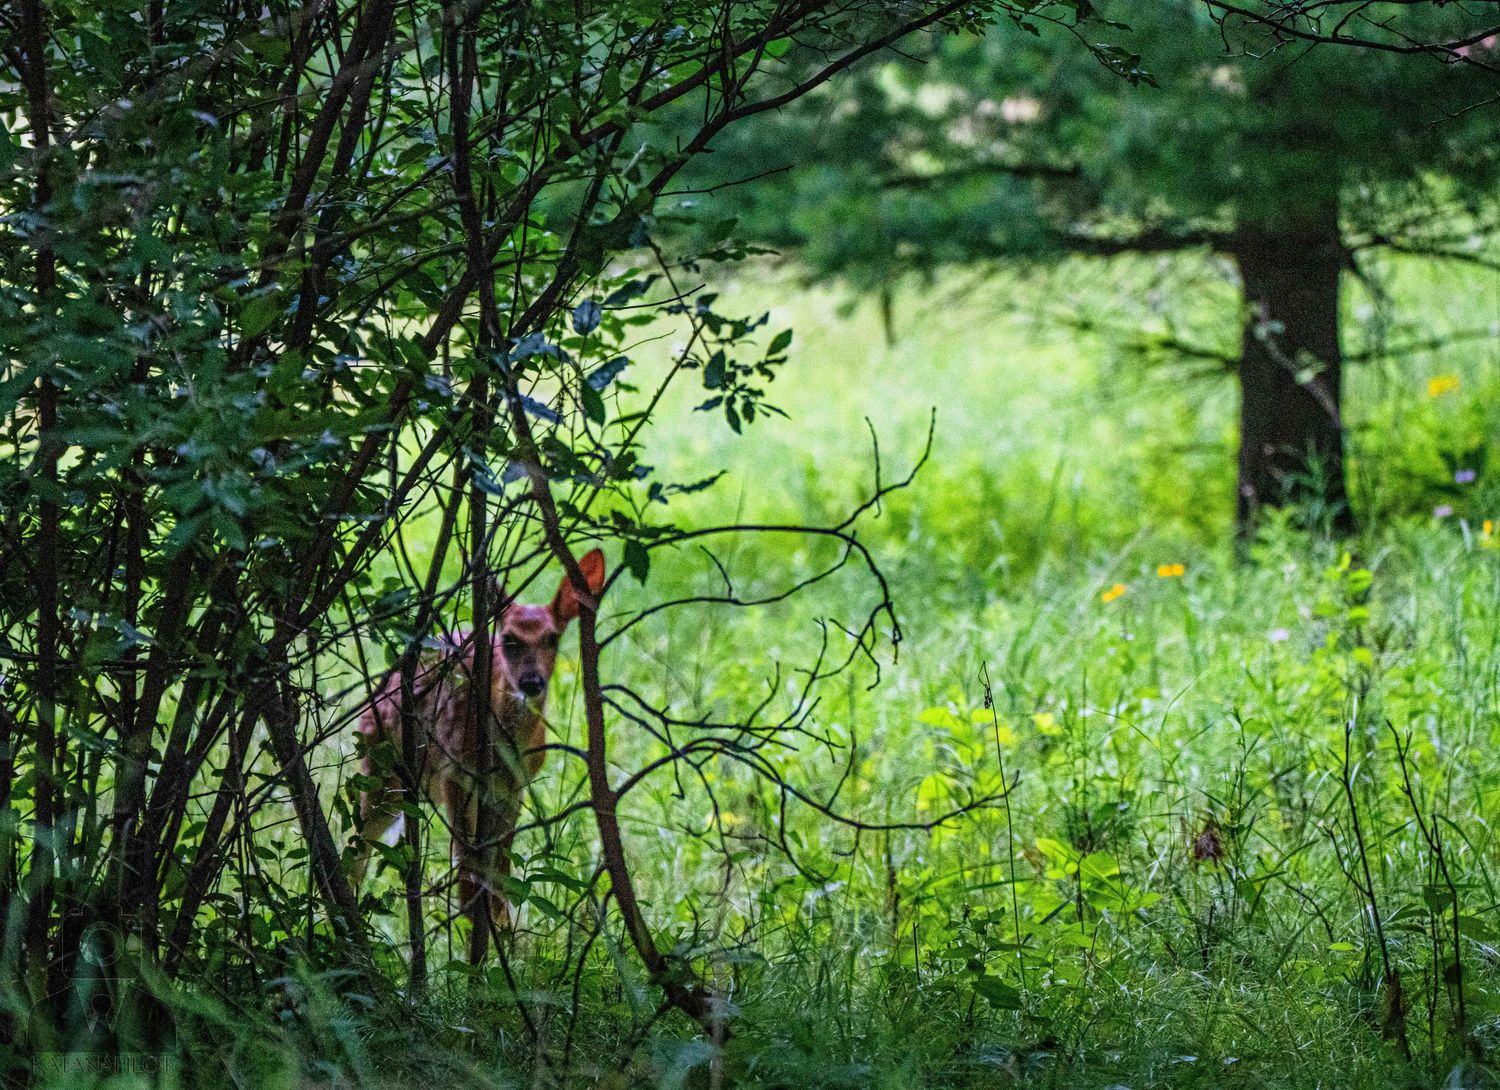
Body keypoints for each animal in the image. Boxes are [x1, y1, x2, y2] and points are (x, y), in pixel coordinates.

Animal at [351, 549, 606, 953]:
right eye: (509, 638)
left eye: (552, 638)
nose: (532, 682)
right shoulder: (454, 771)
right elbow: (468, 868)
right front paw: (481, 946)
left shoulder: (514, 788)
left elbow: (500, 871)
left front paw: (508, 943)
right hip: (381, 768)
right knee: (355, 846)